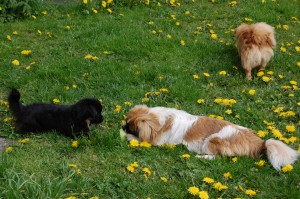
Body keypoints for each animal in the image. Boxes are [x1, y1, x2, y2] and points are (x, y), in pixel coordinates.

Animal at [123, 105, 298, 170]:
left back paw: (202, 157)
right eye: (126, 122)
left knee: (219, 157)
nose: (122, 127)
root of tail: (260, 143)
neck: (161, 121)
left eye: (132, 129)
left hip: (211, 141)